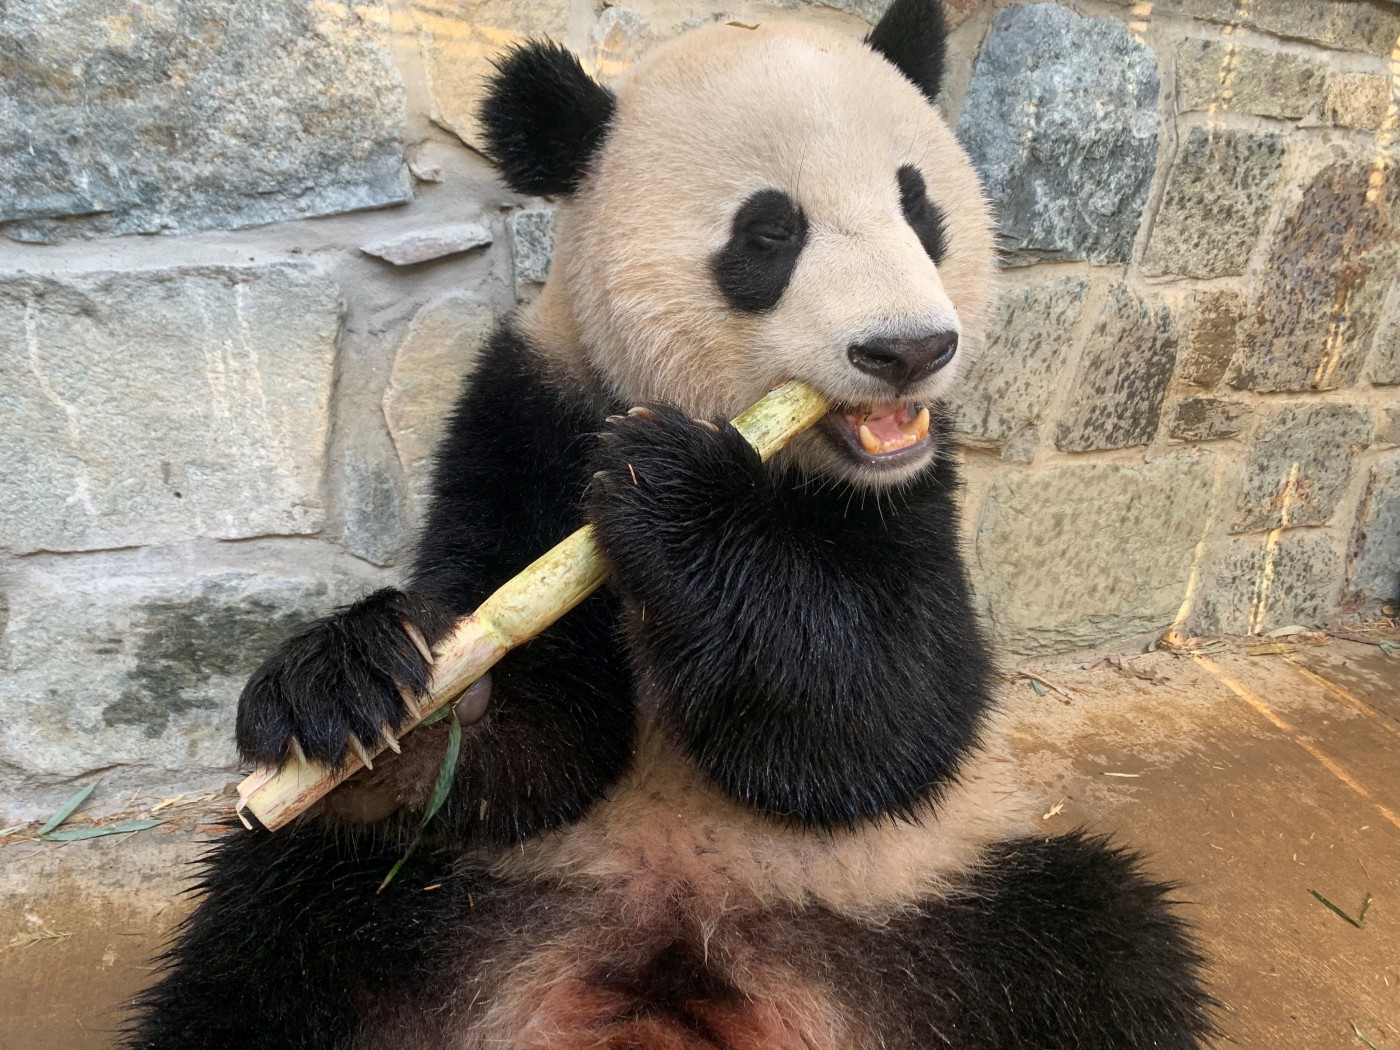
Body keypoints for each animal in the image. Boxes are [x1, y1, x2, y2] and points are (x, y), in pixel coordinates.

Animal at [128, 2, 1215, 1050]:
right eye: (769, 233)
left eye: (918, 205)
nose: (908, 349)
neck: (778, 453)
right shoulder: (530, 408)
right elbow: (545, 733)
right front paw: (378, 677)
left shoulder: (913, 485)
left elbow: (890, 720)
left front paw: (674, 493)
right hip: (446, 898)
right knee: (272, 929)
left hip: (929, 900)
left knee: (1100, 942)